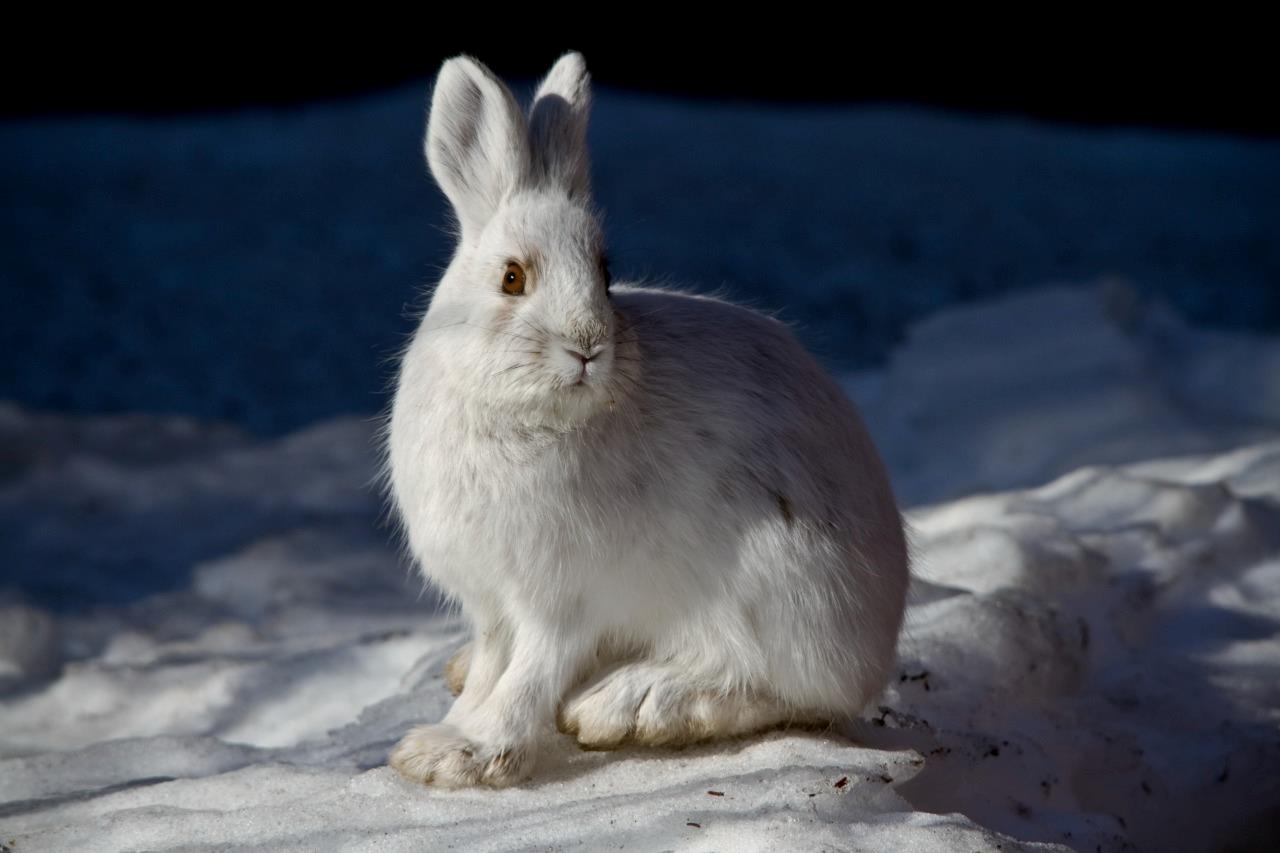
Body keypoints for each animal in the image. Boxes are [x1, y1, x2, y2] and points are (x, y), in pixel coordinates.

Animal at [386, 51, 909, 788]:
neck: (531, 414)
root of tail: (878, 634)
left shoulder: (562, 599)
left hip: (777, 583)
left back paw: (633, 703)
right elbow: (493, 664)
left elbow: (529, 673)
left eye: (606, 275)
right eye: (513, 278)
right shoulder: (492, 601)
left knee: (774, 685)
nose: (588, 345)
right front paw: (441, 738)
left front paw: (470, 752)